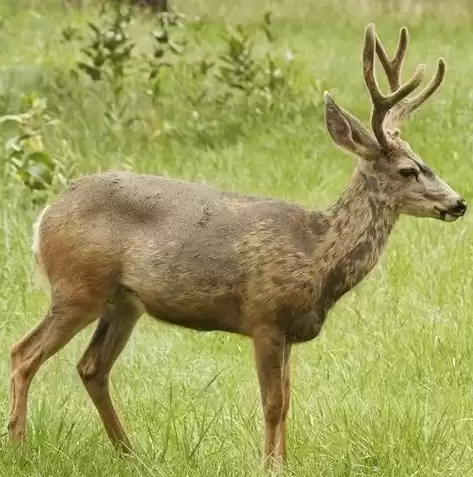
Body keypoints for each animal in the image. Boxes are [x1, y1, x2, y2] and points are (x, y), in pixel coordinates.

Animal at [7, 22, 464, 468]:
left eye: (426, 163)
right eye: (408, 170)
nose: (458, 203)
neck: (317, 253)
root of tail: (46, 215)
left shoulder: (289, 332)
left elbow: (288, 401)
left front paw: (284, 465)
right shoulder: (265, 317)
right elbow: (273, 404)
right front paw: (269, 468)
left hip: (124, 302)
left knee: (91, 366)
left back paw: (130, 454)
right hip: (78, 286)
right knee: (23, 353)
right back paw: (19, 448)